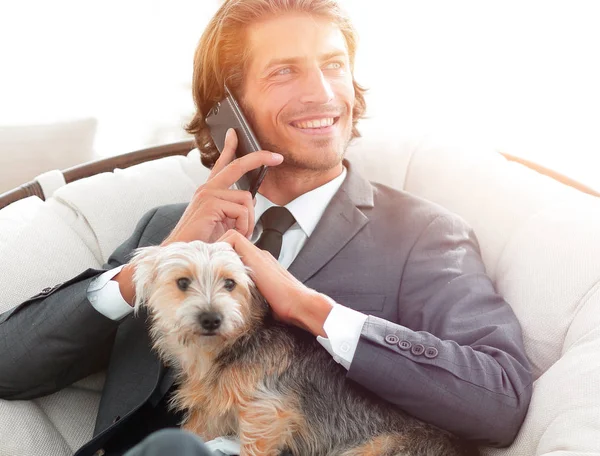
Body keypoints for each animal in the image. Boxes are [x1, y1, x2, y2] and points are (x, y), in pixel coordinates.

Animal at [130, 240, 478, 454]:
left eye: (230, 283)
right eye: (182, 283)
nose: (211, 318)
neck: (228, 348)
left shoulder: (266, 414)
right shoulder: (211, 413)